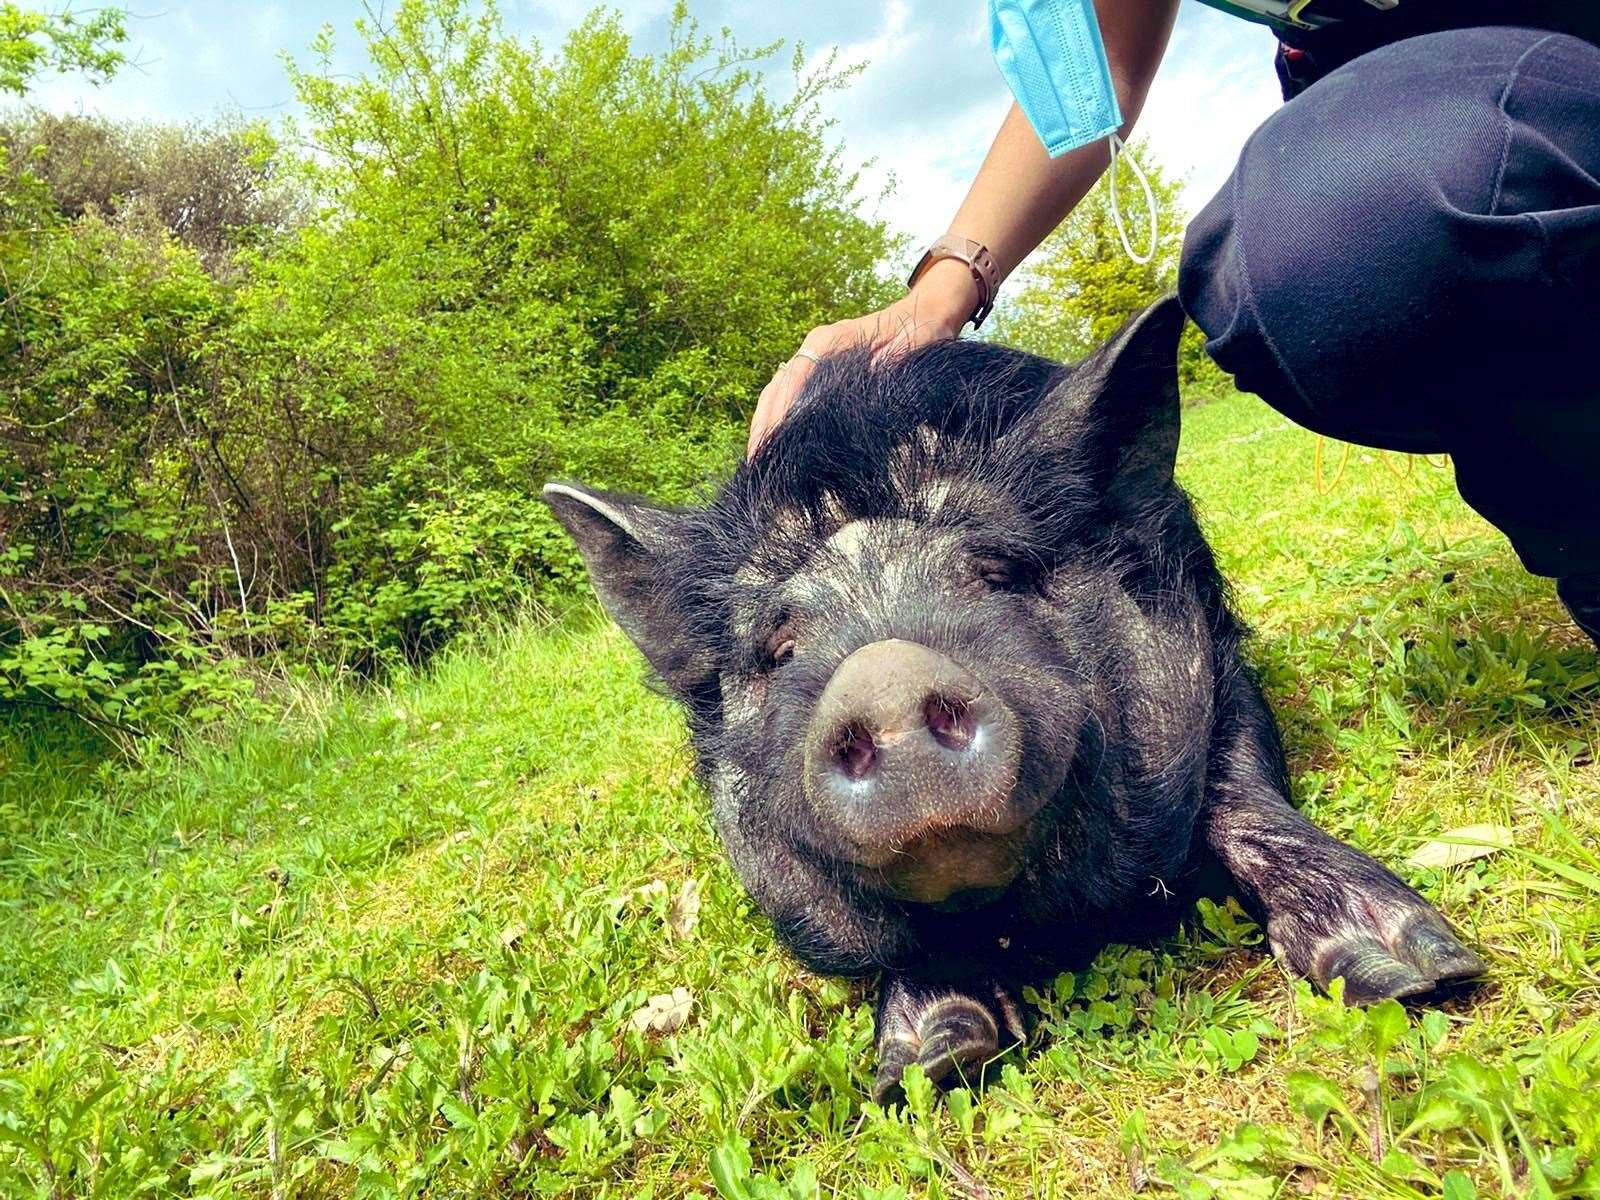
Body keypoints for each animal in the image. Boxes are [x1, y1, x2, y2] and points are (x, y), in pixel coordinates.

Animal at [544, 299, 1478, 1100]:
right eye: (778, 648)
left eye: (997, 571)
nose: (883, 679)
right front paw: (935, 1062)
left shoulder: (1215, 647)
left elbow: (1241, 786)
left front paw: (1419, 973)